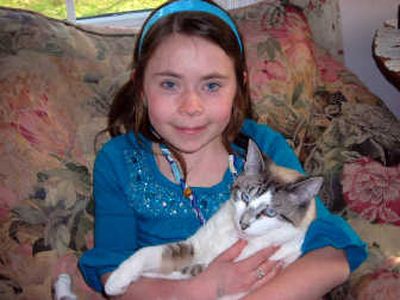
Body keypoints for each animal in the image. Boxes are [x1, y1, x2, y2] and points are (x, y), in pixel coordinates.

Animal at [104, 139, 324, 298]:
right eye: (245, 196)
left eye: (269, 213)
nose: (243, 223)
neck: (232, 236)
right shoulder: (196, 245)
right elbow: (152, 252)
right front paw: (117, 280)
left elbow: (183, 274)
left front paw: (139, 278)